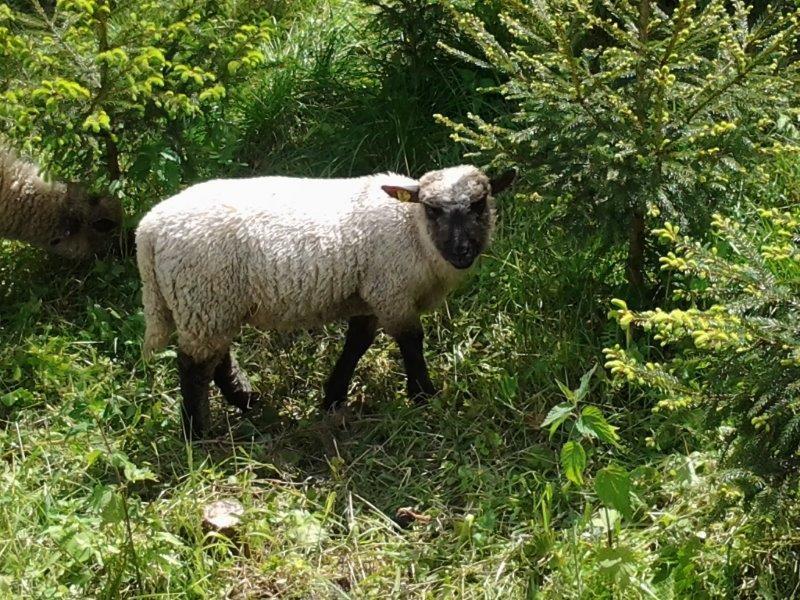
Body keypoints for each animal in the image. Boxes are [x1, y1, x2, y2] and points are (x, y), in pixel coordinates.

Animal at [136, 164, 516, 438]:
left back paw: (248, 401)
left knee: (217, 358)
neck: (412, 230)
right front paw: (423, 395)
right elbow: (411, 342)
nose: (462, 251)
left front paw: (333, 396)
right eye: (432, 209)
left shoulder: (369, 295)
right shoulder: (391, 292)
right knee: (193, 366)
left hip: (212, 304)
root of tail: (148, 229)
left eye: (479, 205)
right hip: (204, 296)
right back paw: (198, 434)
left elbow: (357, 343)